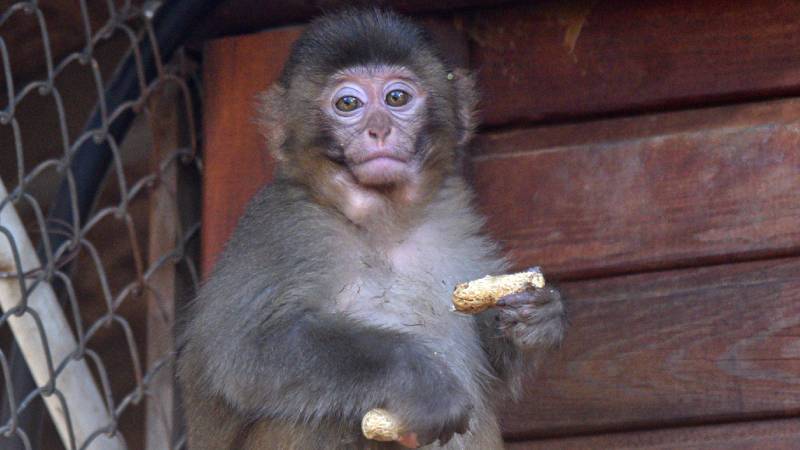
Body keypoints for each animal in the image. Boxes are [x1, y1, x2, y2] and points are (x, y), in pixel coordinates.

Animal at [178, 7, 564, 450]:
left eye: (397, 98)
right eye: (348, 103)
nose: (378, 129)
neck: (382, 222)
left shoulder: (455, 218)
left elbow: (494, 369)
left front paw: (539, 318)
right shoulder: (282, 228)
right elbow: (242, 352)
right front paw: (419, 380)